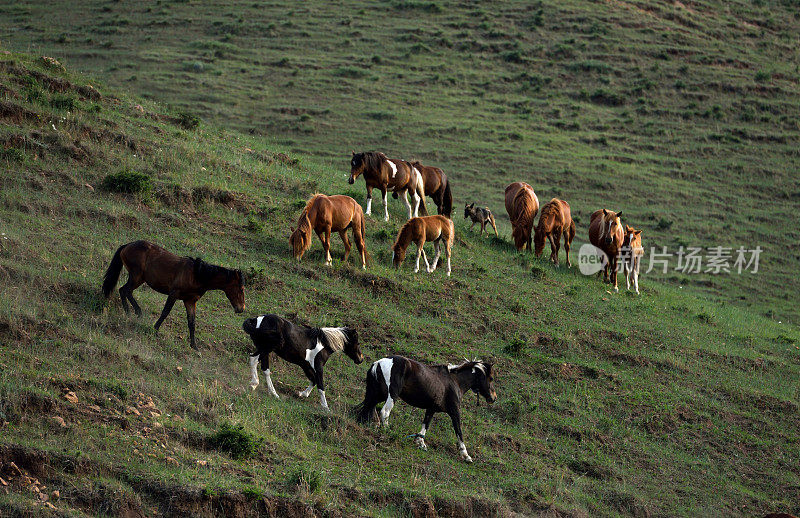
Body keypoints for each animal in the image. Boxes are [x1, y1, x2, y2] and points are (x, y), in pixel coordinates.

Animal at [101, 243, 244, 350]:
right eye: (241, 289)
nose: (241, 309)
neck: (197, 275)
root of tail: (127, 245)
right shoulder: (173, 294)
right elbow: (165, 312)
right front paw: (155, 329)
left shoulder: (190, 301)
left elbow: (192, 322)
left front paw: (194, 345)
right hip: (137, 277)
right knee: (125, 291)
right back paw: (134, 312)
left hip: (138, 278)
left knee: (123, 291)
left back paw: (131, 312)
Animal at [354, 358, 494, 464]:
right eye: (491, 378)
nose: (493, 398)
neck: (455, 382)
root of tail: (378, 363)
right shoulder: (454, 412)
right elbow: (459, 431)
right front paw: (466, 455)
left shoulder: (431, 409)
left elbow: (425, 425)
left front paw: (421, 443)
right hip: (392, 395)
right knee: (384, 412)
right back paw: (388, 432)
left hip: (377, 395)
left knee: (369, 409)